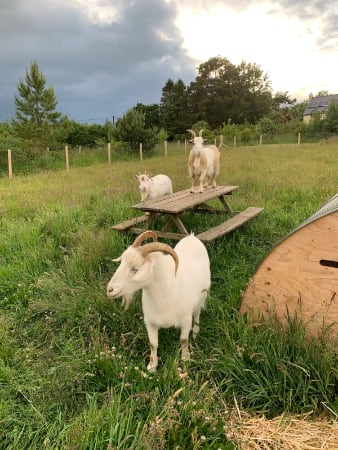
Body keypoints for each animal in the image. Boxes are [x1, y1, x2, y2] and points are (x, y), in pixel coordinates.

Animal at [107, 230, 210, 370]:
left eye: (135, 269)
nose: (110, 289)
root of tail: (192, 236)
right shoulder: (150, 322)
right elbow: (153, 344)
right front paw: (152, 366)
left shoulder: (186, 320)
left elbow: (183, 340)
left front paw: (185, 359)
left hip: (201, 297)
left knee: (197, 313)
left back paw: (195, 332)